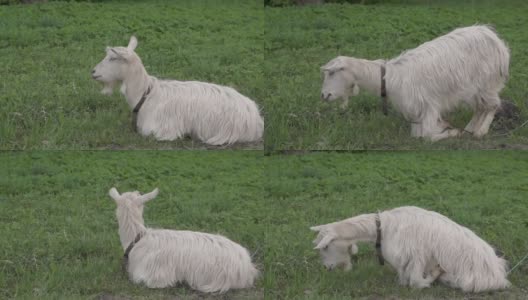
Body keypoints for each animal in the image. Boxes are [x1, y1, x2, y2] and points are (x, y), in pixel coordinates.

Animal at [312, 205, 510, 292]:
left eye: (326, 246)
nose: (326, 268)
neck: (383, 227)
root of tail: (498, 272)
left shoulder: (416, 255)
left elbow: (416, 282)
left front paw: (432, 276)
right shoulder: (405, 260)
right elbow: (405, 278)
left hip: (469, 281)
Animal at [320, 25, 510, 142]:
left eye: (332, 72)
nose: (324, 95)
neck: (391, 77)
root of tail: (497, 41)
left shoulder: (429, 105)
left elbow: (426, 136)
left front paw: (450, 131)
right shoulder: (416, 112)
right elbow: (417, 136)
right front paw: (450, 129)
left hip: (486, 83)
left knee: (493, 105)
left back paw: (480, 132)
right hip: (474, 88)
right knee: (480, 107)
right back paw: (469, 129)